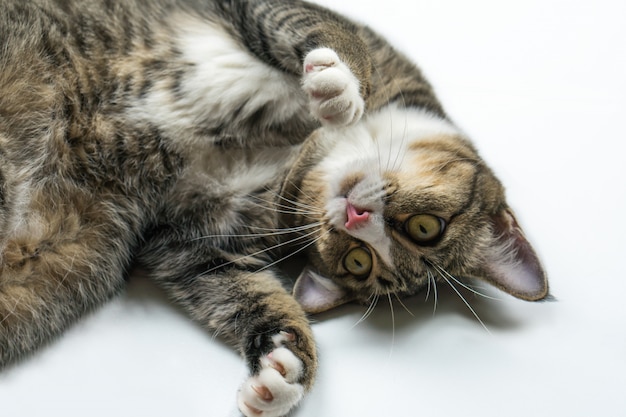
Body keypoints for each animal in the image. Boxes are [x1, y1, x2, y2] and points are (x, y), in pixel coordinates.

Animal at [0, 0, 544, 416]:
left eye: (358, 262)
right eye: (427, 227)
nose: (354, 219)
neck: (299, 152)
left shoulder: (196, 232)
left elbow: (241, 290)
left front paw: (284, 367)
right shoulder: (261, 14)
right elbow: (322, 29)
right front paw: (341, 86)